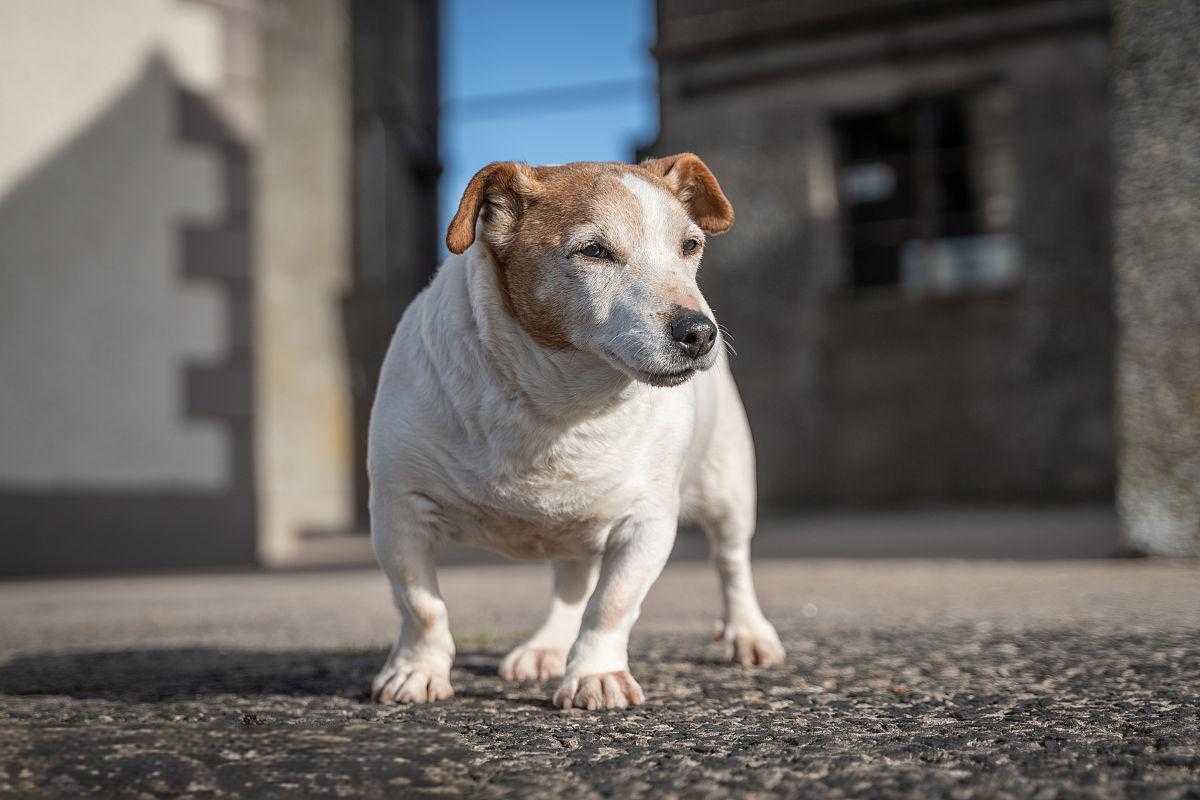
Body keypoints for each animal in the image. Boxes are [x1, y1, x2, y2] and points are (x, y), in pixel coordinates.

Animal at [369, 153, 792, 710]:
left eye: (691, 245)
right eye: (594, 251)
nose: (700, 332)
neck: (563, 403)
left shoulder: (645, 522)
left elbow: (611, 603)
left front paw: (596, 674)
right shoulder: (399, 510)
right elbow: (421, 603)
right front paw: (417, 670)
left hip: (729, 489)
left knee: (731, 563)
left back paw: (748, 633)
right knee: (571, 585)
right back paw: (546, 647)